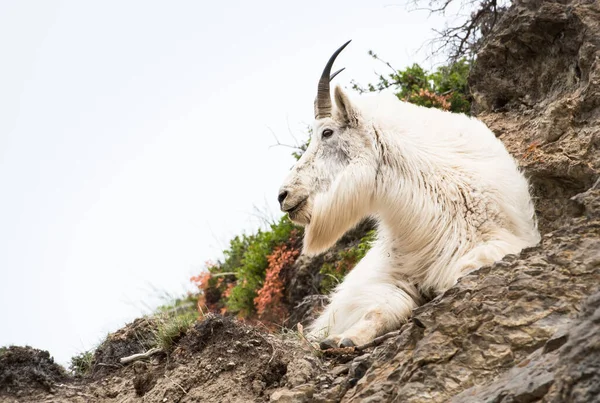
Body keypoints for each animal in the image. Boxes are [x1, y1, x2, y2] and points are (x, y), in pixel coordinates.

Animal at [278, 41, 540, 350]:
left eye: (327, 133)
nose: (284, 195)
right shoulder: (390, 274)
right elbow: (386, 306)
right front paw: (342, 339)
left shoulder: (493, 246)